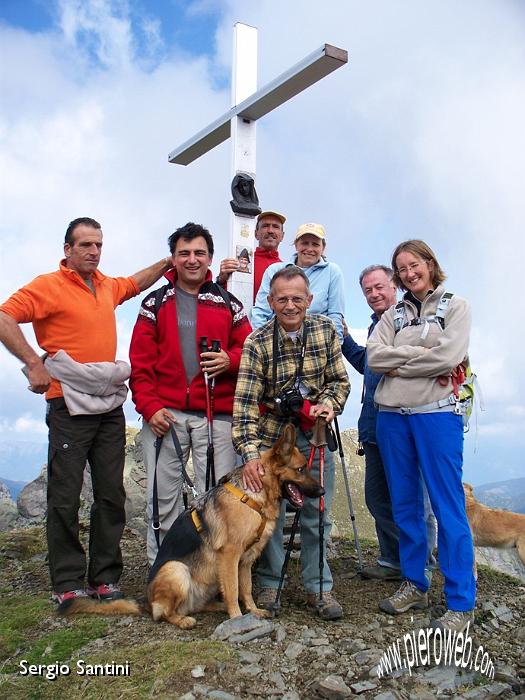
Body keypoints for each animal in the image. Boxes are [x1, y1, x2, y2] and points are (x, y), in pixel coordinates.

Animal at [59, 424, 322, 628]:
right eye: (301, 469)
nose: (322, 491)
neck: (253, 496)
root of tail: (147, 600)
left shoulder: (245, 560)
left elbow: (245, 588)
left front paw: (253, 610)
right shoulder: (230, 555)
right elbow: (234, 589)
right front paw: (237, 617)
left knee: (196, 605)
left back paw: (215, 607)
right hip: (177, 570)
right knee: (163, 613)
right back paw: (184, 620)